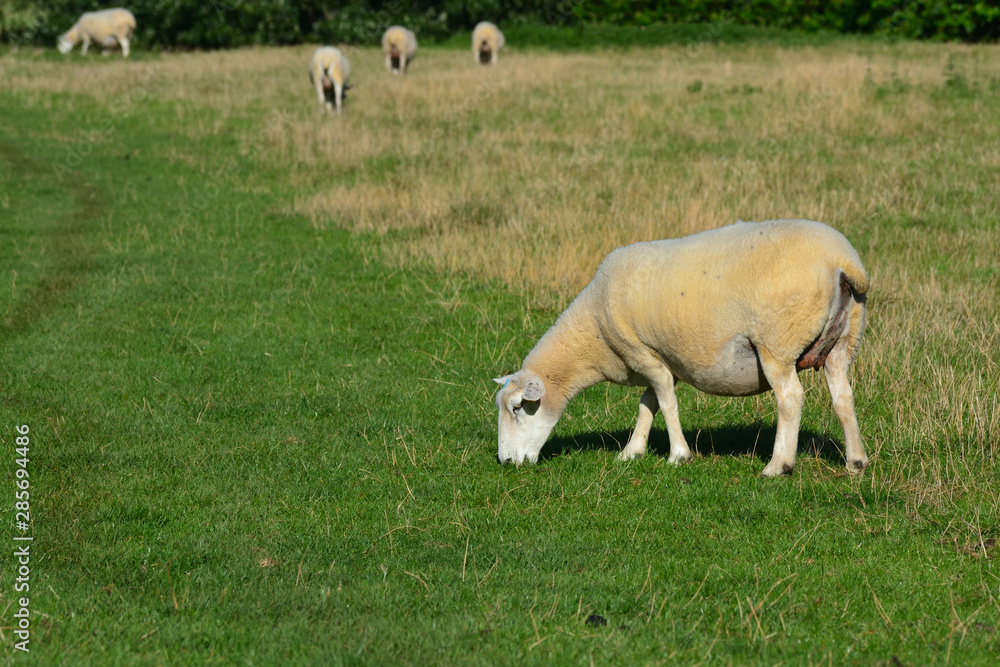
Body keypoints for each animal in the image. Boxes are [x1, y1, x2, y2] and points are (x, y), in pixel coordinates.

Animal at [494, 219, 870, 478]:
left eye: (518, 408)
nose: (506, 462)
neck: (592, 333)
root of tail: (844, 262)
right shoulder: (657, 358)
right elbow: (648, 404)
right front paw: (632, 451)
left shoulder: (641, 352)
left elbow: (665, 402)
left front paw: (678, 455)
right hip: (843, 341)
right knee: (843, 396)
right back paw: (855, 461)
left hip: (776, 344)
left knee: (790, 398)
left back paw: (778, 465)